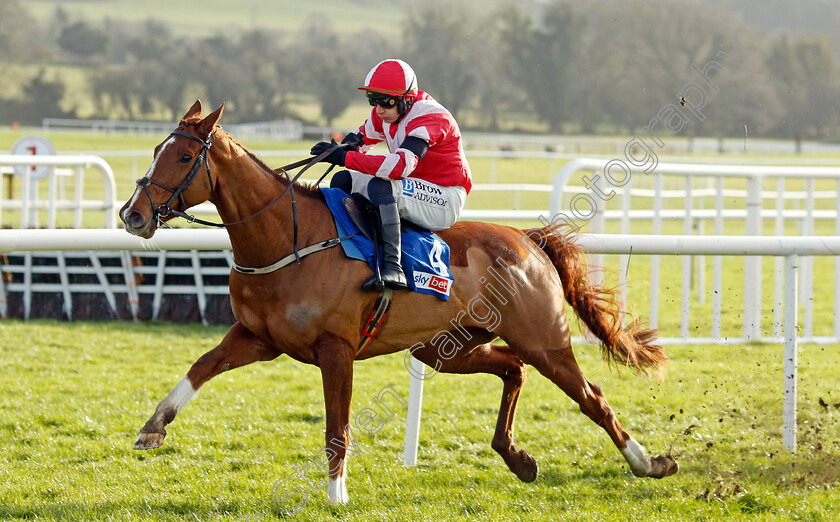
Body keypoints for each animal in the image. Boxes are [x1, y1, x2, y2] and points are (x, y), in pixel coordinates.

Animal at [121, 99, 680, 502]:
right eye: (156, 149)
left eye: (185, 157)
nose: (133, 214)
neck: (287, 238)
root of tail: (527, 239)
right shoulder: (258, 338)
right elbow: (201, 366)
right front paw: (153, 428)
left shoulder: (336, 350)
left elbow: (338, 427)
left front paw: (337, 495)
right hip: (445, 348)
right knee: (512, 369)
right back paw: (516, 457)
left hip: (545, 341)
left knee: (591, 398)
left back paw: (648, 462)